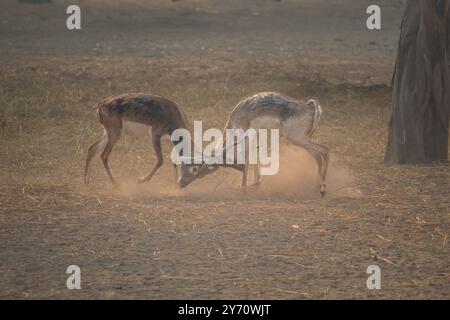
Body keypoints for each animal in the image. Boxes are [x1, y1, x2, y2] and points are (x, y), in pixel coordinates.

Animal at [177, 92, 330, 196]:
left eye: (194, 169)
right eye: (182, 166)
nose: (180, 182)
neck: (235, 120)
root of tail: (310, 107)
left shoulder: (244, 138)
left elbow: (246, 162)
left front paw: (243, 189)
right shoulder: (255, 138)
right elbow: (254, 158)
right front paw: (256, 183)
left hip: (296, 138)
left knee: (324, 149)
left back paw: (323, 189)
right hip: (302, 139)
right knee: (318, 156)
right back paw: (315, 188)